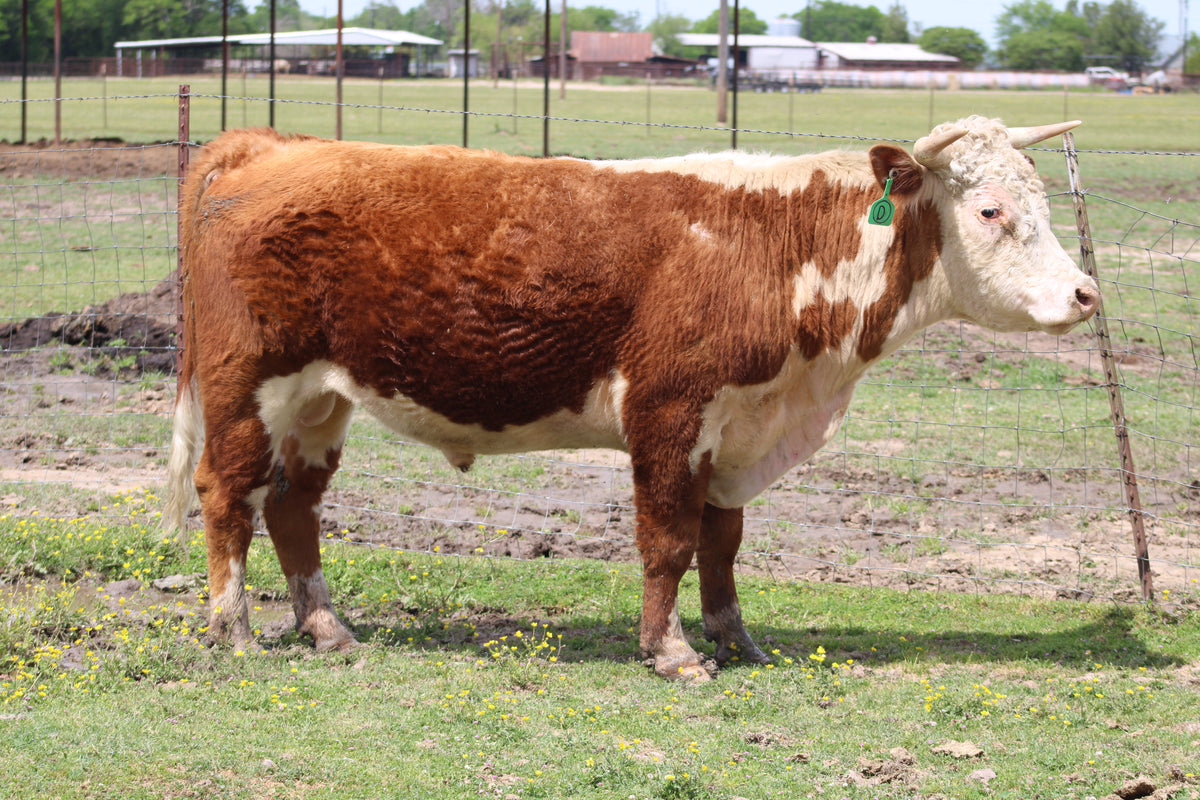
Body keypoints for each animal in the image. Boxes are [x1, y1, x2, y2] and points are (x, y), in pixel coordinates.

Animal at [165, 116, 1099, 681]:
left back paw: (327, 628)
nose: (1087, 293)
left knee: (294, 506)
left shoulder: (737, 427)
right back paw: (234, 628)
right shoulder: (669, 414)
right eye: (991, 211)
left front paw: (734, 637)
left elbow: (723, 543)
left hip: (321, 402)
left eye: (1045, 204)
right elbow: (669, 544)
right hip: (248, 384)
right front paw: (673, 651)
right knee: (227, 496)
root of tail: (263, 142)